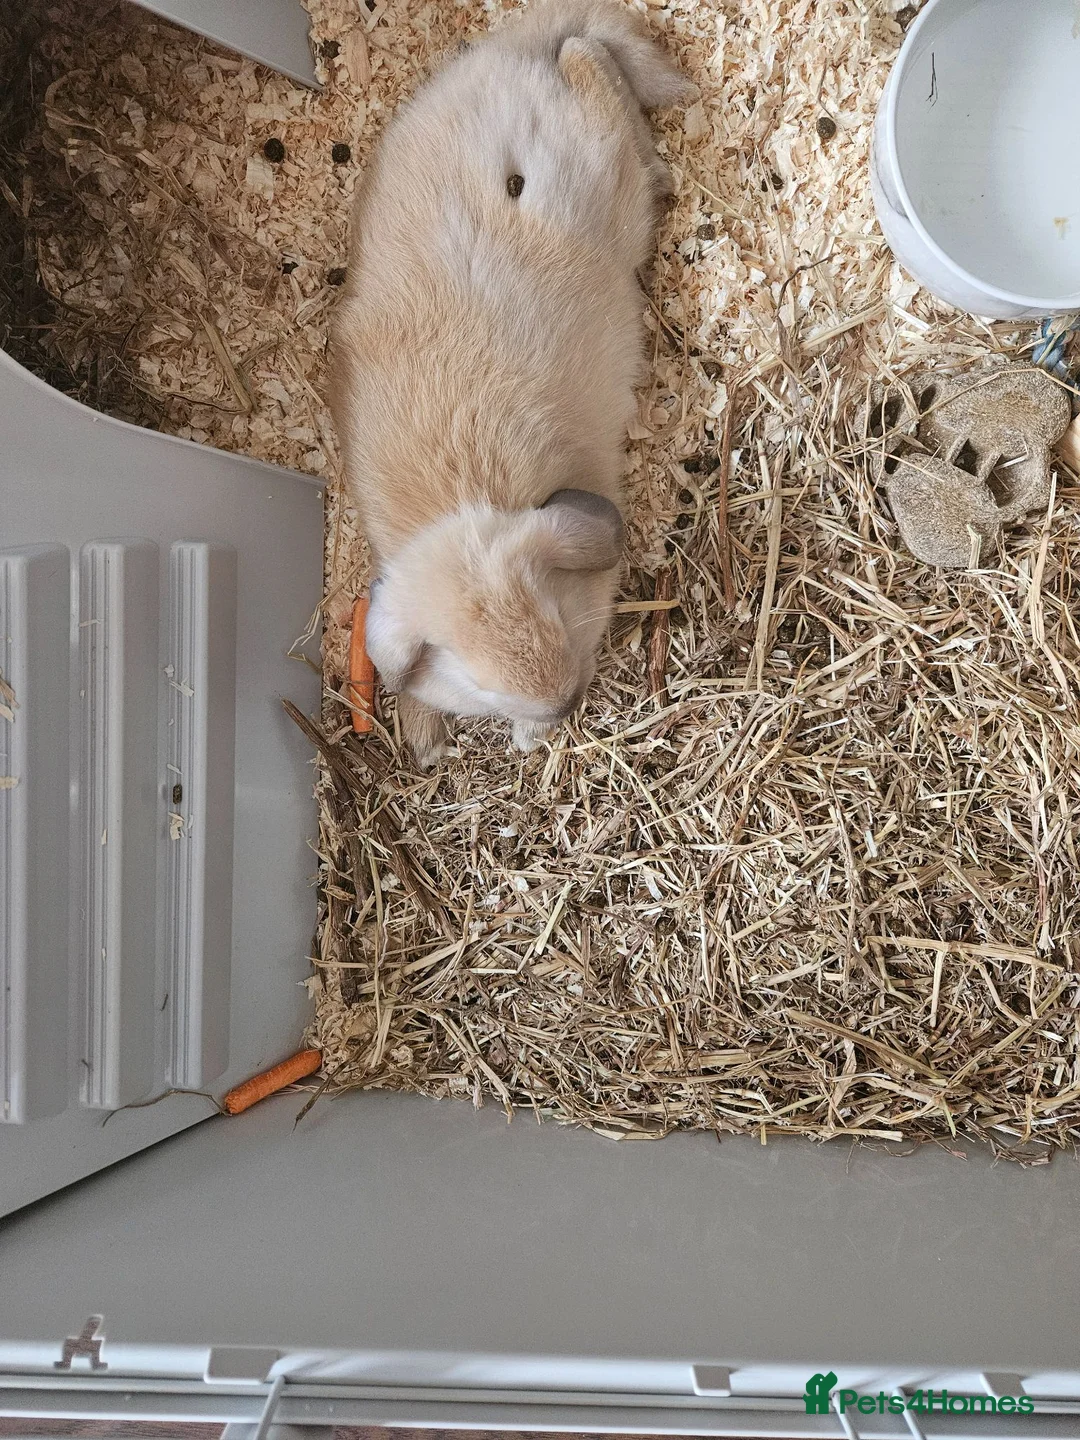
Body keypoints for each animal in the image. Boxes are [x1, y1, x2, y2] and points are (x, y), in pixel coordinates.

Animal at [329, 0, 696, 766]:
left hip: (597, 156)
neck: (467, 500)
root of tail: (520, 46)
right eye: (479, 681)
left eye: (555, 615)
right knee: (588, 54)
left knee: (591, 62)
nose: (560, 705)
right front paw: (428, 737)